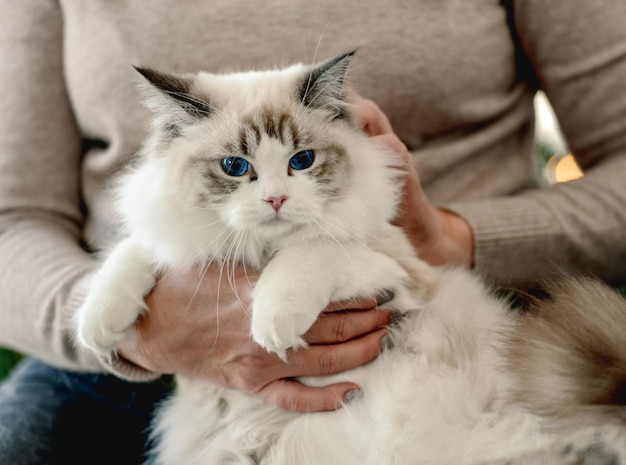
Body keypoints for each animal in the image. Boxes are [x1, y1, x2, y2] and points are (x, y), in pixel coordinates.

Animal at [77, 51, 624, 464]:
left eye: (302, 161)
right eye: (235, 166)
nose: (276, 200)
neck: (261, 251)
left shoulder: (398, 273)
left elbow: (311, 248)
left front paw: (273, 323)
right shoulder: (183, 238)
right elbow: (136, 251)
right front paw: (99, 322)